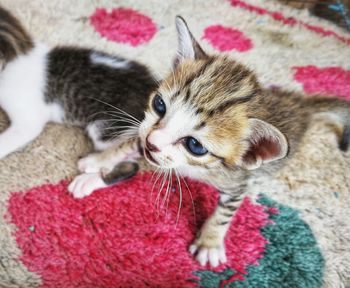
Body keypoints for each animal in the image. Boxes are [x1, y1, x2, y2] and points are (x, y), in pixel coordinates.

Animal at [69, 16, 350, 266]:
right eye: (159, 105)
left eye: (195, 145)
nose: (153, 142)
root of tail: (299, 103)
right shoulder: (148, 134)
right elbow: (130, 142)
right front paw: (99, 161)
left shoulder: (238, 182)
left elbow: (224, 213)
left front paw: (210, 243)